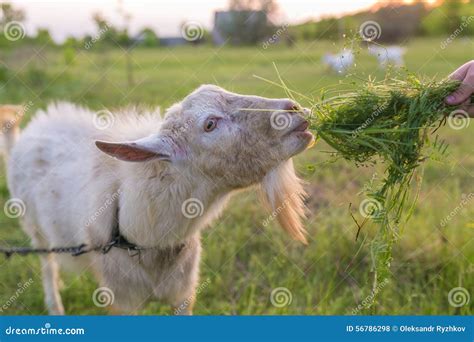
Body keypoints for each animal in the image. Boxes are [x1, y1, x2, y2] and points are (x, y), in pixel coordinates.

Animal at [6, 84, 314, 314]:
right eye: (210, 124)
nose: (294, 109)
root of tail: (33, 128)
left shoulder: (183, 293)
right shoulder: (123, 301)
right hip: (35, 229)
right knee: (47, 265)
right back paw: (54, 306)